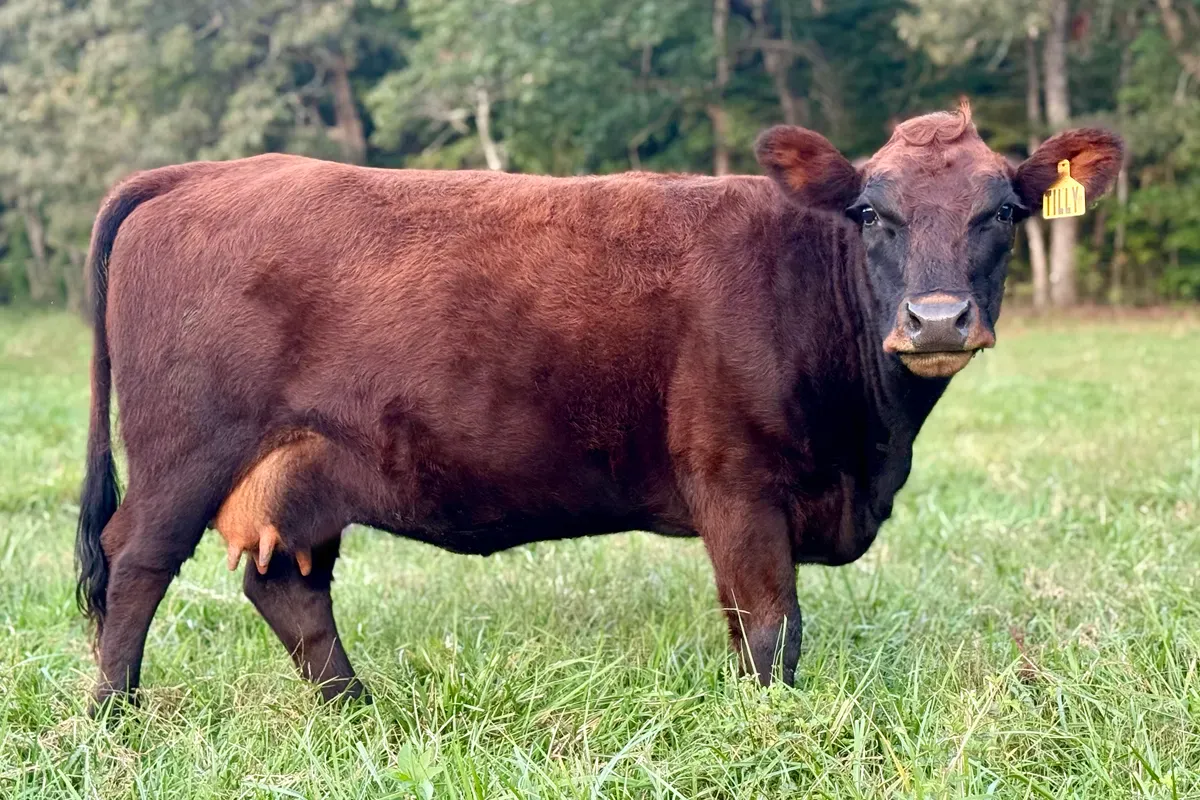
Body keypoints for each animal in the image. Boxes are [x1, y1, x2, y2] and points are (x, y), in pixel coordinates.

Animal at [75, 101, 1122, 710]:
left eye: (1002, 211)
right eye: (874, 211)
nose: (937, 318)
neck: (868, 446)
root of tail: (205, 172)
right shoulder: (736, 483)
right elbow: (770, 629)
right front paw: (774, 728)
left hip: (300, 469)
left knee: (289, 587)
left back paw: (359, 709)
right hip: (185, 455)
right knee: (133, 568)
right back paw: (115, 719)